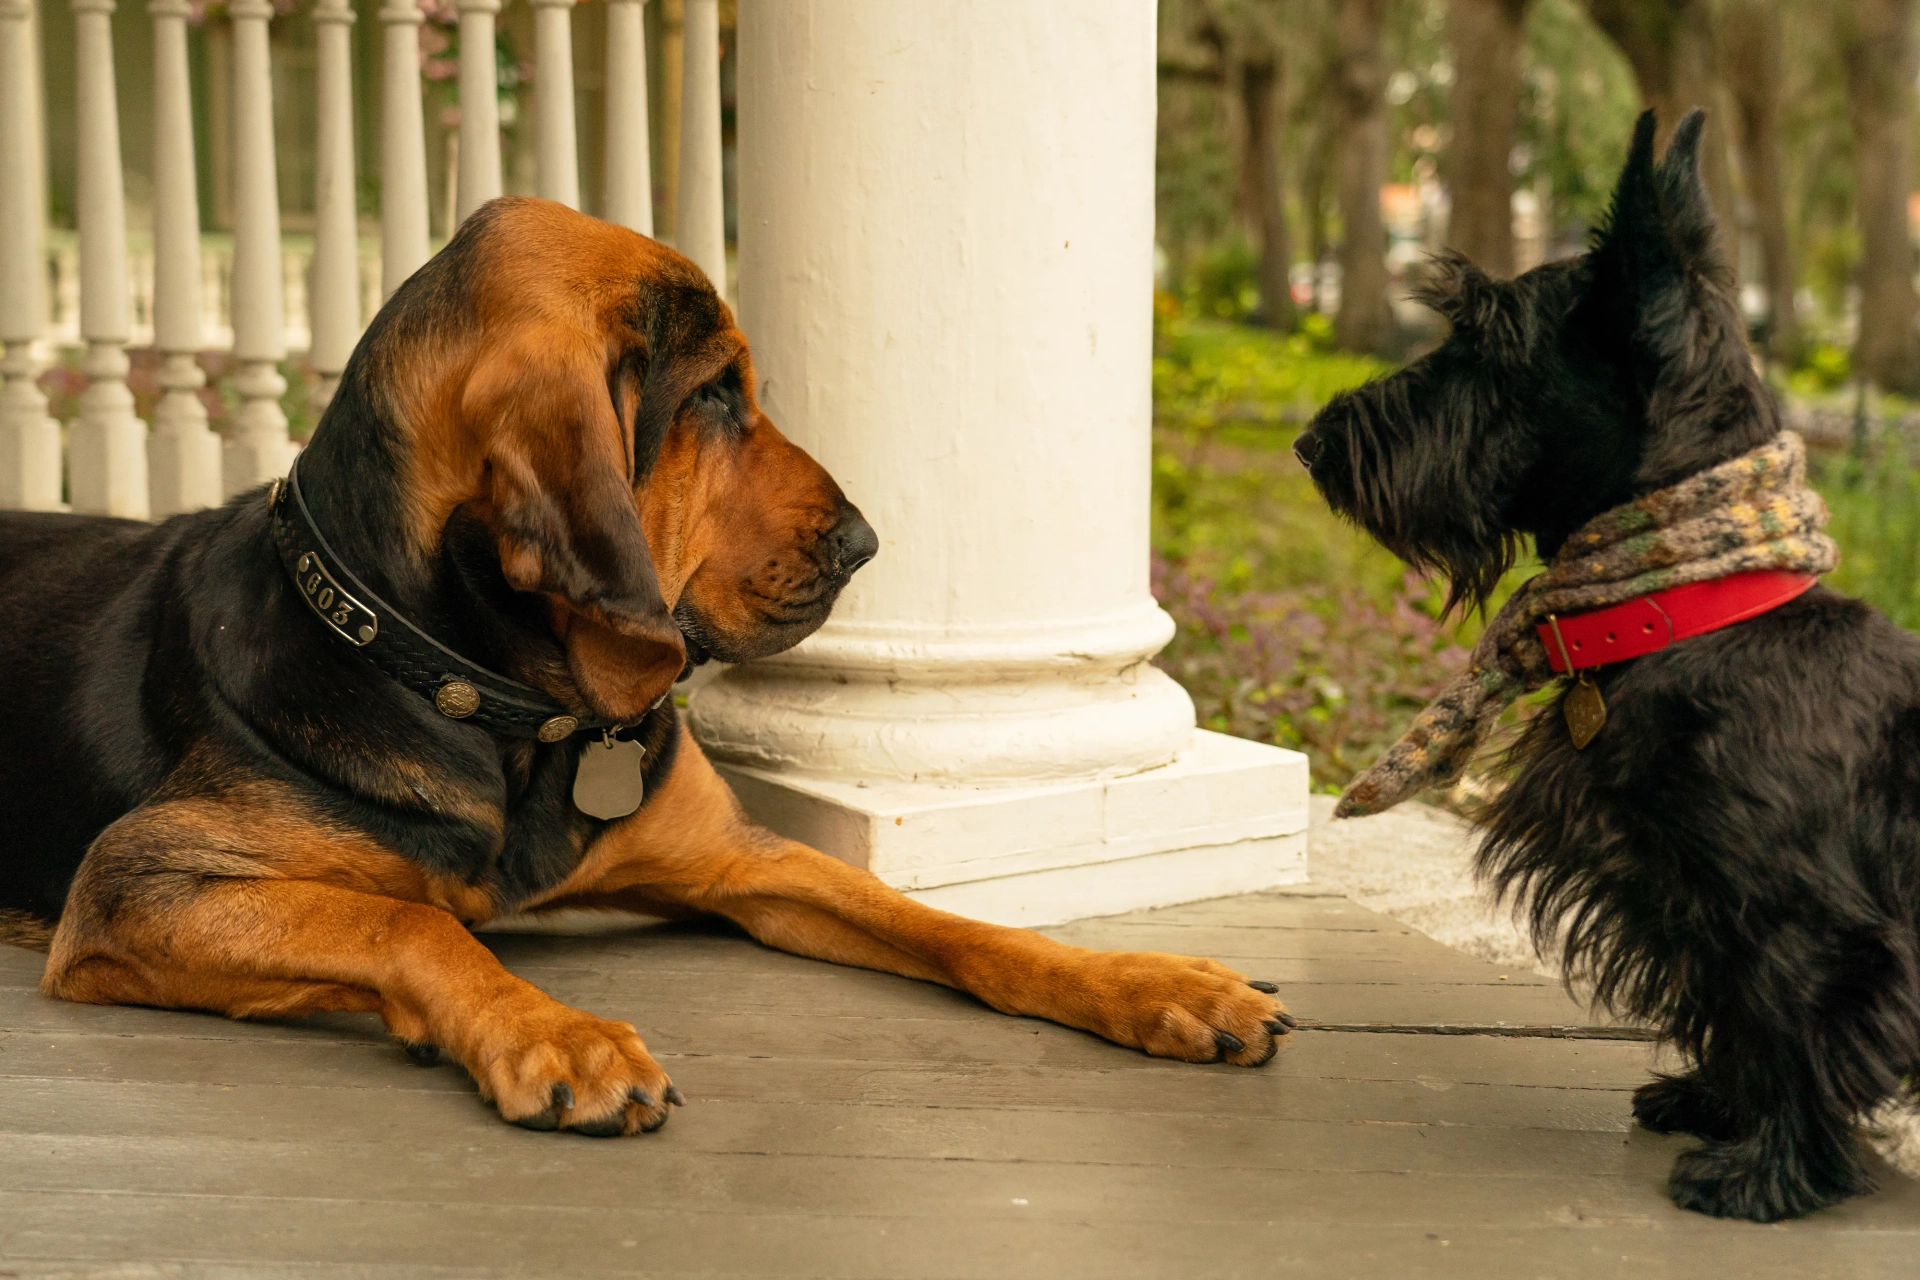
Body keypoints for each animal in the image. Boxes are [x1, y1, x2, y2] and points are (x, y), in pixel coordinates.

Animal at [1290, 110, 1920, 1220]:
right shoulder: (1696, 894)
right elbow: (1737, 1004)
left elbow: (1794, 1013)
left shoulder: (1807, 915)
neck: (1685, 604)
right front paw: (1717, 1101)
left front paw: (1765, 1168)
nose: (1313, 441)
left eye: (1486, 340)